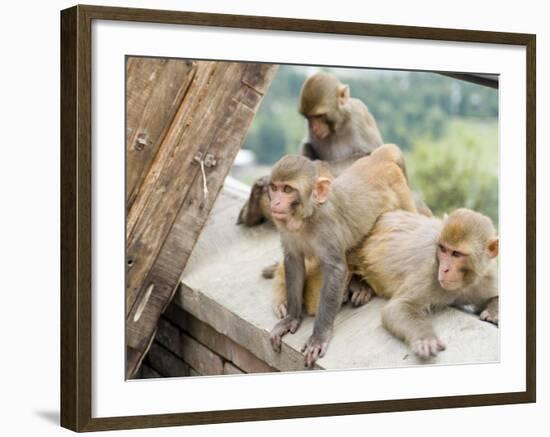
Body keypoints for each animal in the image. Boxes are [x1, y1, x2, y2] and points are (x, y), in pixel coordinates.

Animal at [237, 72, 384, 227]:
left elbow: (370, 154)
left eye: (319, 116)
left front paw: (319, 166)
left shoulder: (359, 116)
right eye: (309, 118)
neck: (338, 125)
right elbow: (307, 147)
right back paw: (252, 210)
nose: (314, 127)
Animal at [268, 144, 418, 368]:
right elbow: (294, 261)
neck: (307, 218)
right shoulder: (286, 229)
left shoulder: (327, 227)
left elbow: (335, 270)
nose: (276, 202)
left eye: (287, 189)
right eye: (274, 188)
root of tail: (379, 158)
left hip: (402, 193)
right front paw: (291, 318)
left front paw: (319, 337)